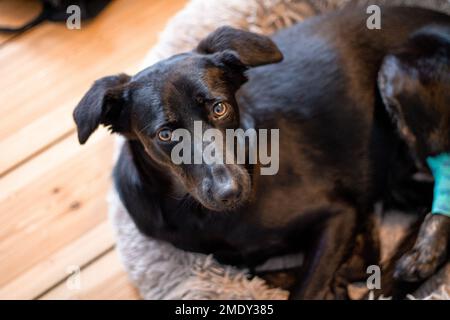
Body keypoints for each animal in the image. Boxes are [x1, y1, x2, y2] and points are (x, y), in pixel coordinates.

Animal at [74, 6, 450, 298]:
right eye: (165, 134)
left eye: (220, 108)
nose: (230, 192)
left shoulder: (339, 214)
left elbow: (306, 287)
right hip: (397, 176)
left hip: (396, 71)